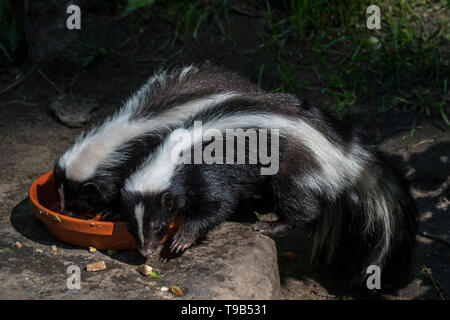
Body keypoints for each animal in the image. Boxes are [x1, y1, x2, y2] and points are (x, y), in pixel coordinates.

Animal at [120, 90, 418, 288]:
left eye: (159, 227)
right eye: (133, 227)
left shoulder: (208, 171)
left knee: (300, 204)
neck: (174, 157)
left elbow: (218, 204)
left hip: (293, 164)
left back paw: (269, 225)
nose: (146, 253)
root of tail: (344, 151)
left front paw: (183, 237)